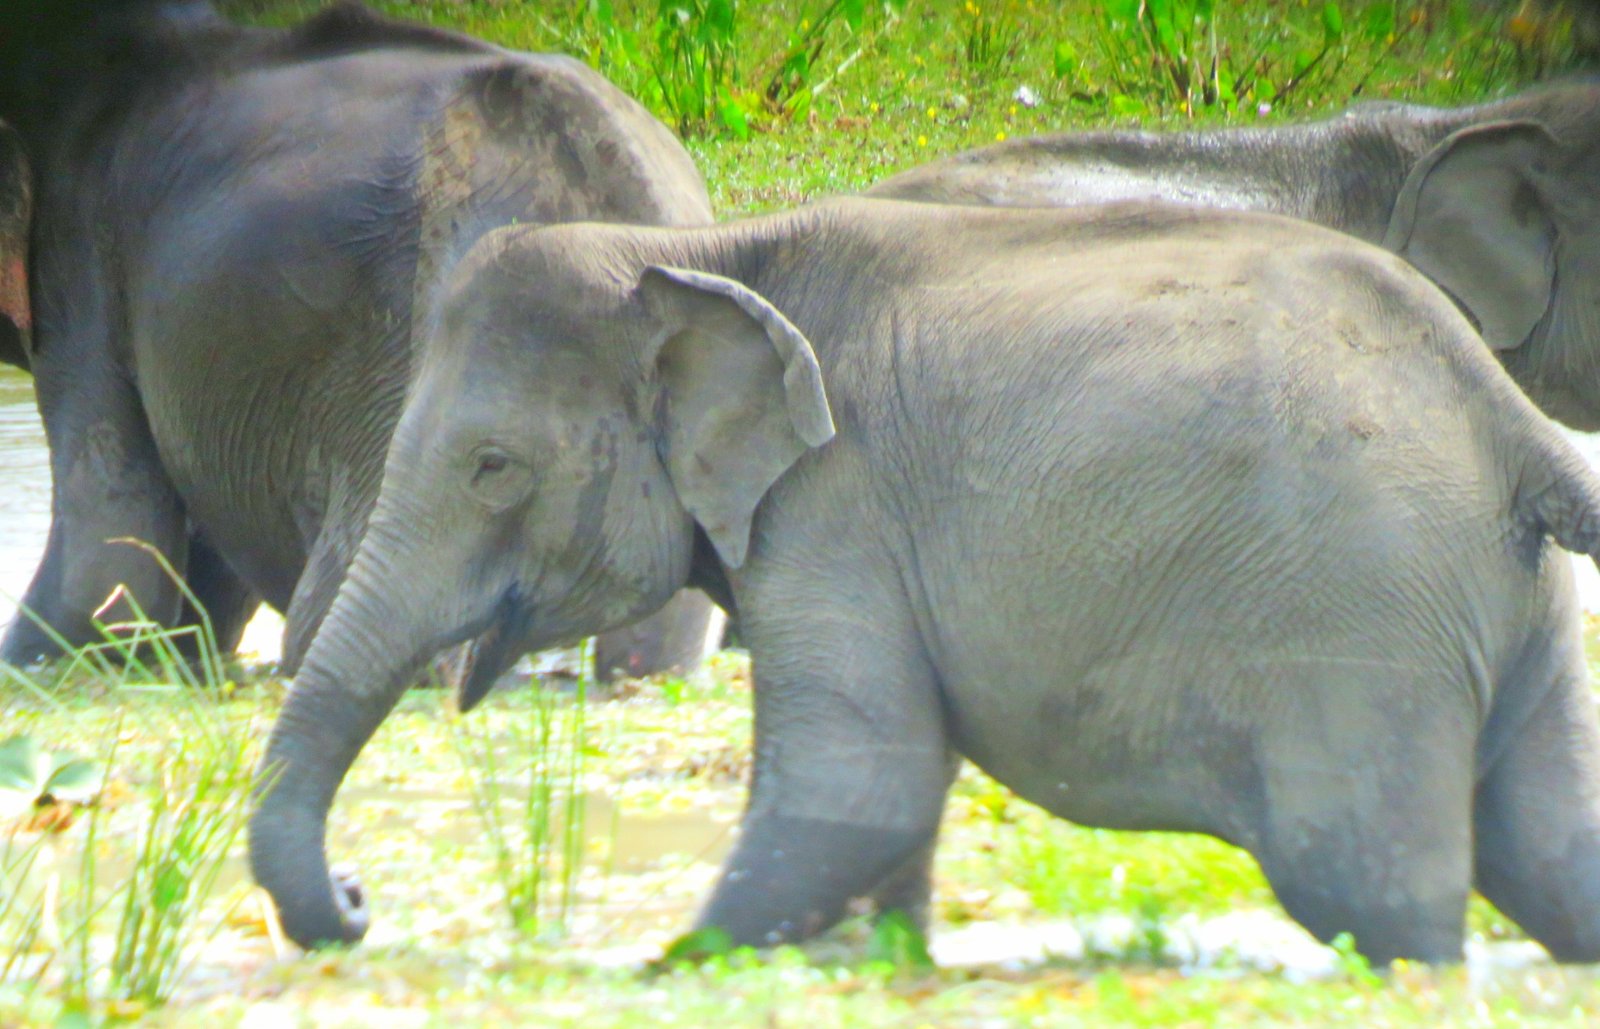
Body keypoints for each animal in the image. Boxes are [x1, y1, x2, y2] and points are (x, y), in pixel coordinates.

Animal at [250, 195, 1600, 965]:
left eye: (492, 468)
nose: (361, 902)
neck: (695, 253)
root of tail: (1513, 416)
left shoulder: (834, 506)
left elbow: (860, 785)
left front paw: (661, 972)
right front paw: (867, 967)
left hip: (1355, 633)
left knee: (1365, 888)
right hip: (1489, 616)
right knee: (1549, 849)